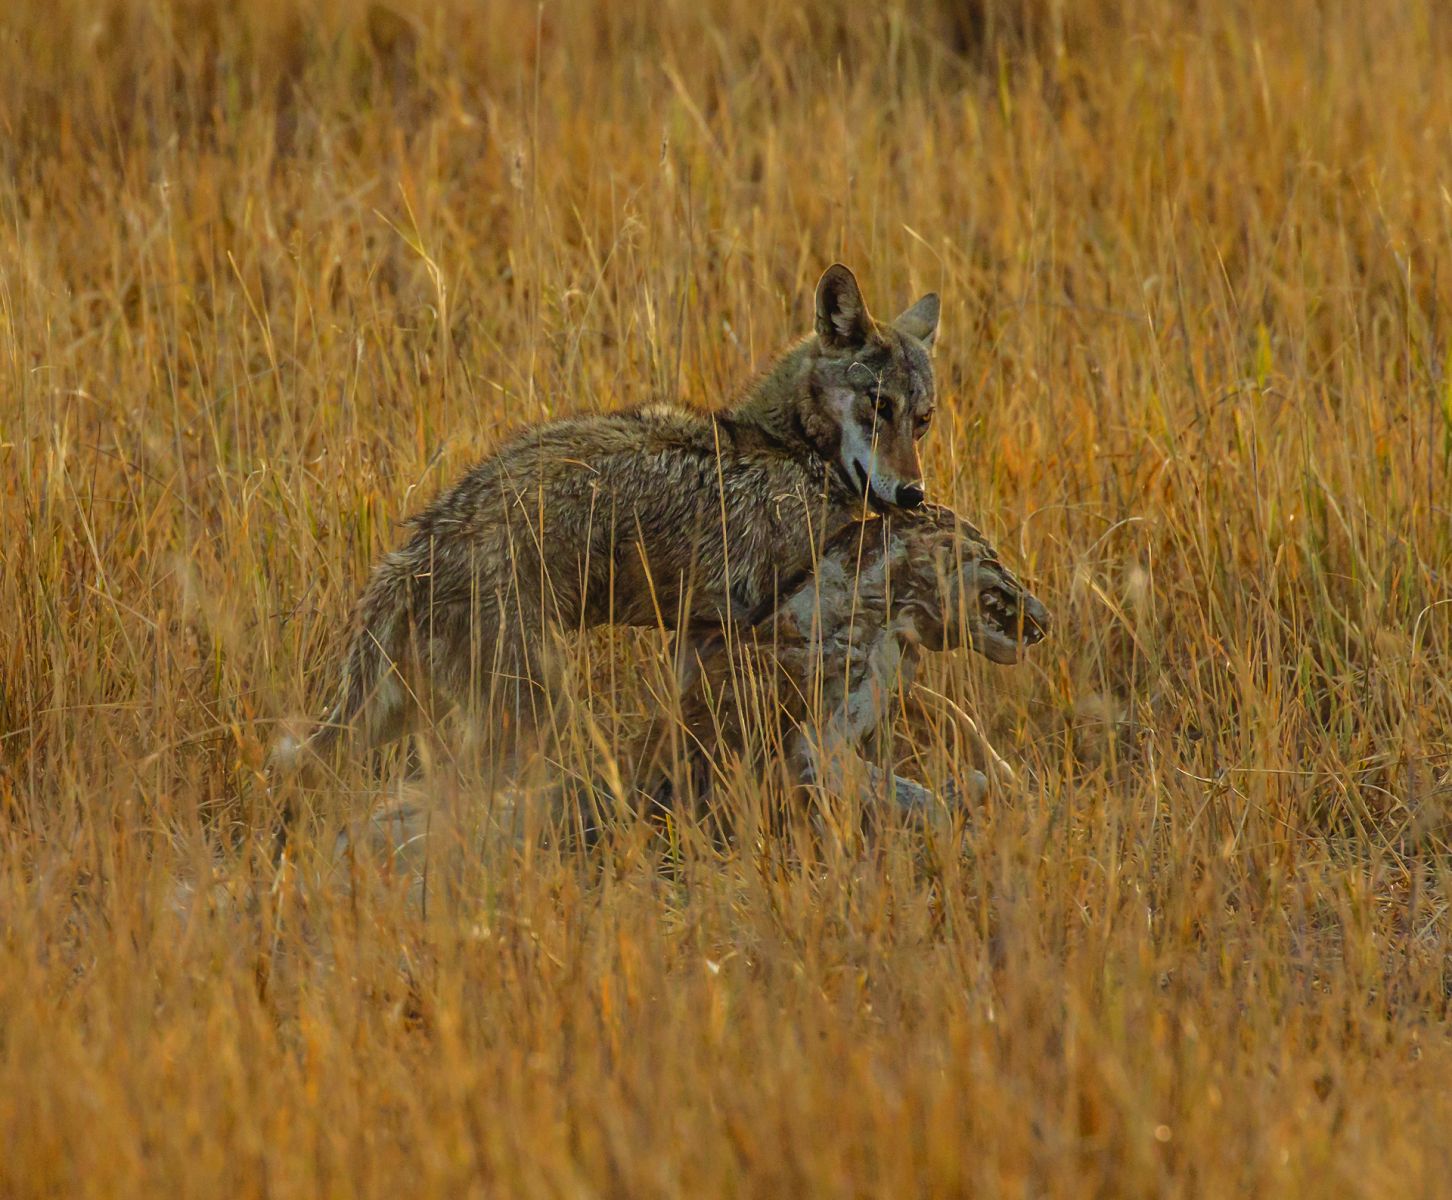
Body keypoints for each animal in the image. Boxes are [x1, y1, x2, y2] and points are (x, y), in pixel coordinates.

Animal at [277, 262, 940, 772]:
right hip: (528, 714)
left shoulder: (699, 634)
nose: (913, 494)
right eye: (878, 406)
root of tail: (417, 551)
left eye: (923, 419)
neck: (789, 448)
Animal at [630, 502, 1051, 825]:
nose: (1045, 616)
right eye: (993, 557)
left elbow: (953, 716)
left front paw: (1011, 789)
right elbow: (922, 799)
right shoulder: (812, 749)